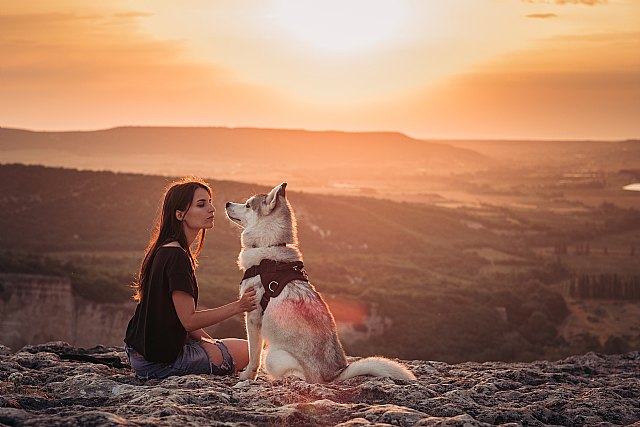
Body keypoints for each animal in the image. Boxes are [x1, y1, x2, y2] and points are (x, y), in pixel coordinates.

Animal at [225, 182, 416, 382]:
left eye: (247, 205)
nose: (227, 203)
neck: (268, 248)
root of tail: (333, 375)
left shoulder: (253, 316)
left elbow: (253, 356)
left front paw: (247, 376)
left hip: (273, 356)